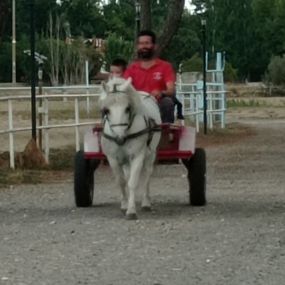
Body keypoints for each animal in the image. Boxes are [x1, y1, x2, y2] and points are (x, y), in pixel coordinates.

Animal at [98, 76, 161, 219]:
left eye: (127, 108)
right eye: (106, 110)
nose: (119, 139)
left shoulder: (137, 156)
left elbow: (133, 182)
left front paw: (131, 210)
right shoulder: (112, 159)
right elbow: (121, 181)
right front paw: (124, 205)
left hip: (151, 154)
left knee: (147, 174)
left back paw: (146, 202)